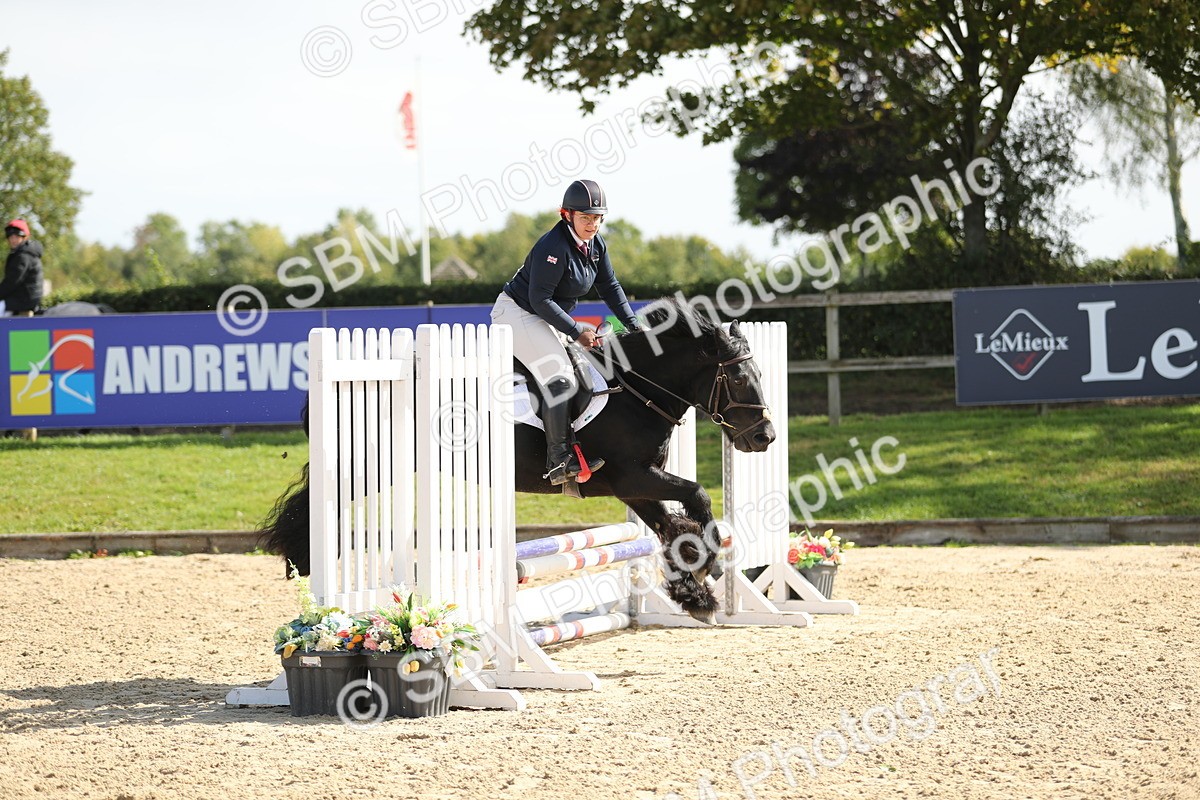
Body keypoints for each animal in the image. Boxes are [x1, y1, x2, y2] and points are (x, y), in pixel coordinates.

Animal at [260, 299, 777, 622]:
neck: (634, 389)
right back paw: (301, 558)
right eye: (738, 380)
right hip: (369, 465)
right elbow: (698, 494)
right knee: (317, 501)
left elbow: (671, 528)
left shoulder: (634, 486)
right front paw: (707, 565)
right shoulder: (633, 476)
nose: (765, 437)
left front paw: (695, 588)